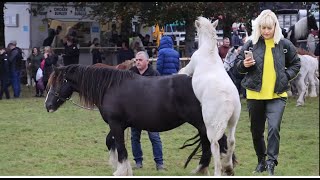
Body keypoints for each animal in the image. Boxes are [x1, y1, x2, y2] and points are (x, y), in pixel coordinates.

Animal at [45, 64, 236, 176]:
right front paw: (118, 165)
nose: (48, 105)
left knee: (216, 142)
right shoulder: (120, 125)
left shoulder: (116, 124)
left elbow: (121, 148)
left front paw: (121, 170)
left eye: (59, 82)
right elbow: (110, 142)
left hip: (202, 123)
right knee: (210, 143)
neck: (110, 87)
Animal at [178, 16, 240, 175]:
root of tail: (227, 102)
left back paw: (219, 169)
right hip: (233, 121)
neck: (209, 51)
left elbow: (181, 71)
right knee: (231, 141)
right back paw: (228, 167)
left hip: (211, 125)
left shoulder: (189, 67)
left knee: (215, 144)